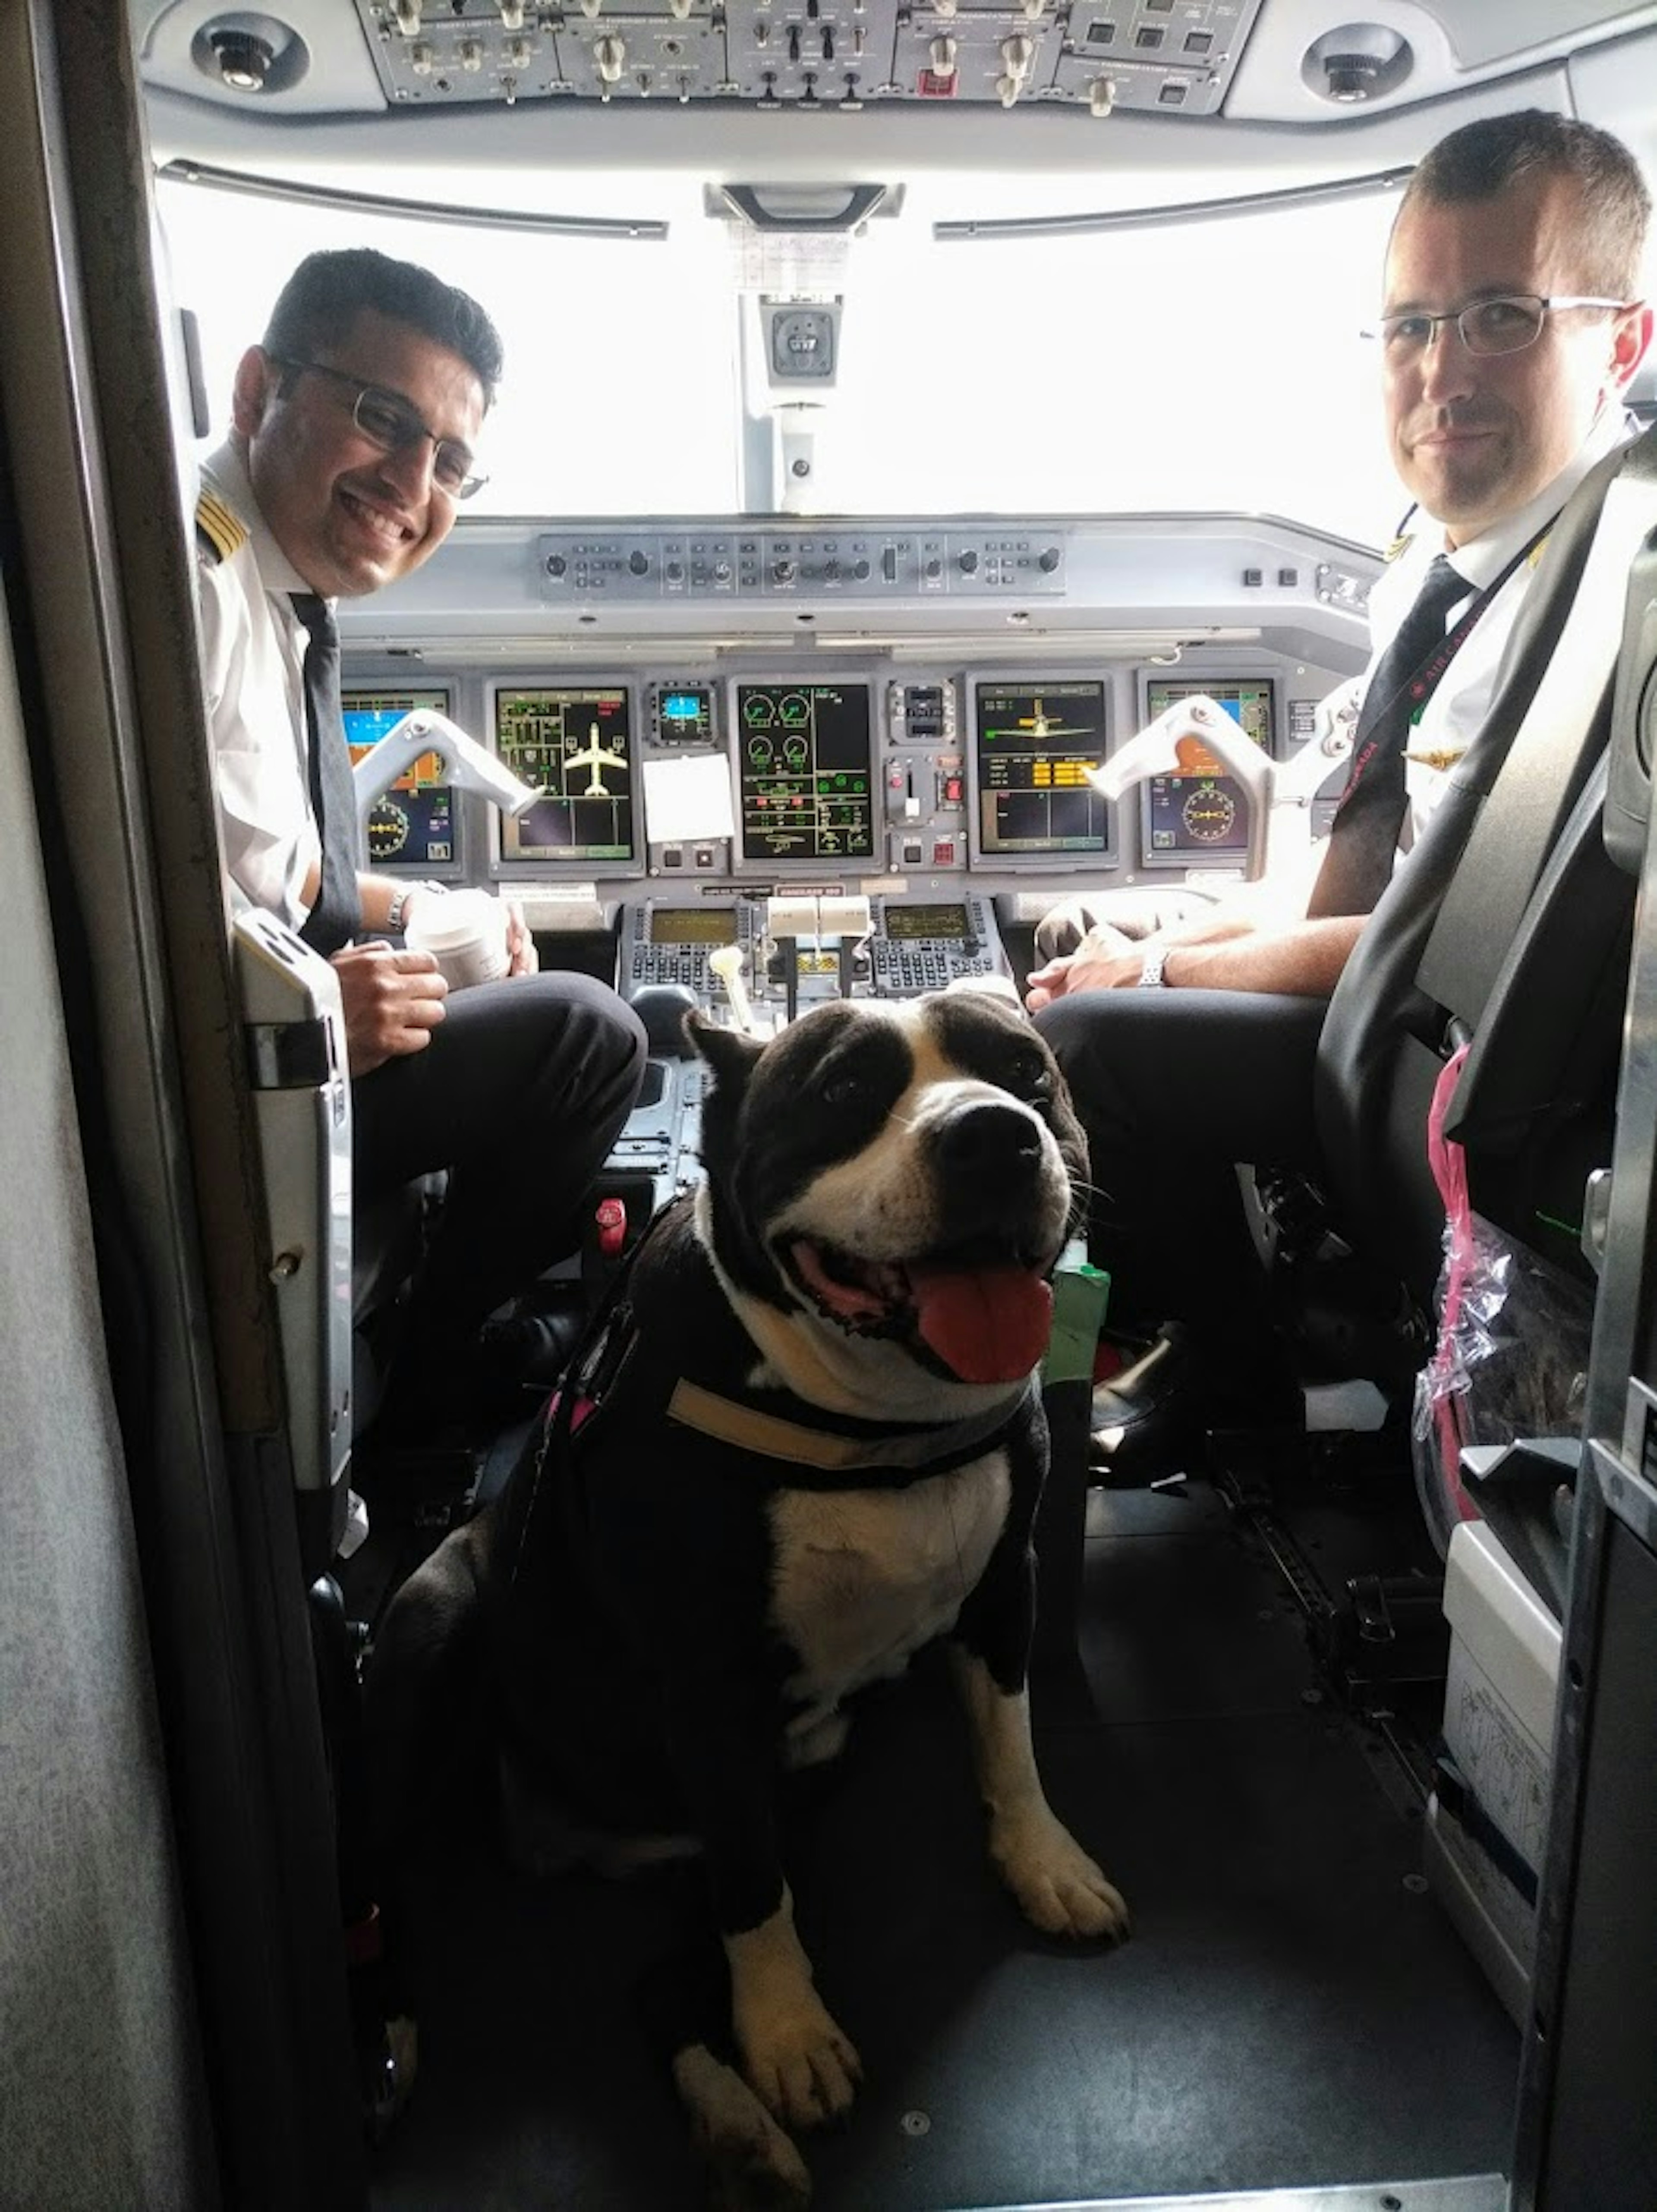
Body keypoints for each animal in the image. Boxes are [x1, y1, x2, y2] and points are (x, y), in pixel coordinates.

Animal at [365, 995, 1124, 2203]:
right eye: (841, 1090)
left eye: (1025, 1072)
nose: (993, 1136)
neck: (871, 1425)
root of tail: (552, 1834)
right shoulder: (709, 1685)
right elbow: (762, 1907)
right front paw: (787, 2034)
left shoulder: (1007, 1588)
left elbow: (1010, 1742)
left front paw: (1044, 1861)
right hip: (437, 1634)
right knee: (383, 1874)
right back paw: (391, 2029)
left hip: (791, 1778)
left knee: (671, 1973)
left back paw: (735, 2126)